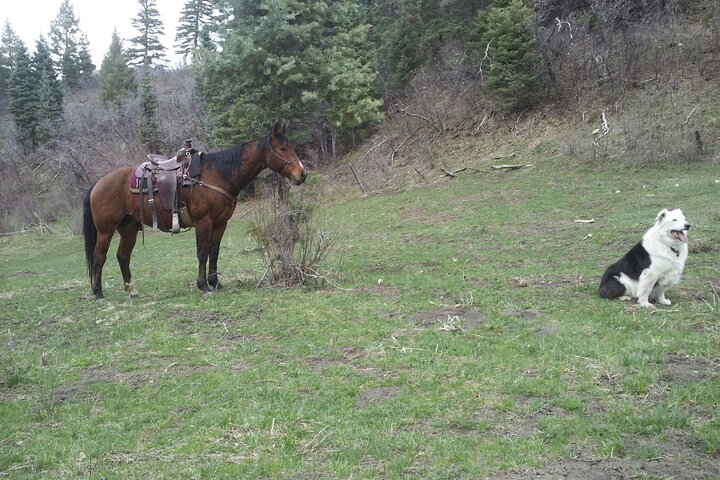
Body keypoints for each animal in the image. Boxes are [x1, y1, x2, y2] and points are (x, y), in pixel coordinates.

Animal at [82, 122, 307, 299]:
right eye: (283, 148)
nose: (302, 174)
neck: (217, 175)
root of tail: (97, 184)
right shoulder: (203, 221)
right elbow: (202, 252)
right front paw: (203, 286)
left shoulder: (220, 223)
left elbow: (214, 252)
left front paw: (216, 283)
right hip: (105, 230)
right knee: (99, 256)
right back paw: (98, 292)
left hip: (128, 229)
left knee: (122, 256)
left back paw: (132, 291)